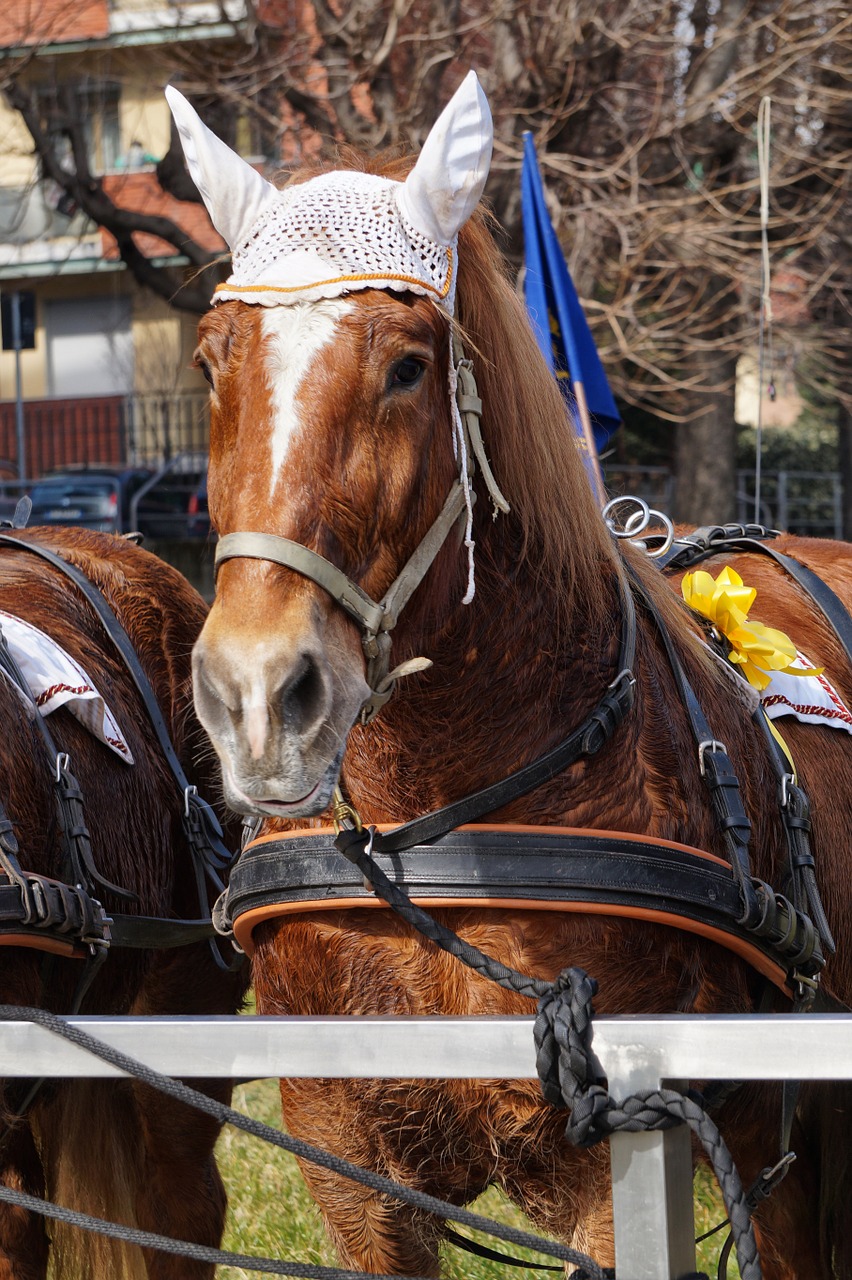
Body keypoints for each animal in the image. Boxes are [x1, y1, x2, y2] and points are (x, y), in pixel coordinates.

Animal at [171, 74, 849, 1274]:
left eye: (406, 366)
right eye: (212, 364)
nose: (255, 694)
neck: (437, 831)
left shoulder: (612, 1159)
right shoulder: (349, 1162)